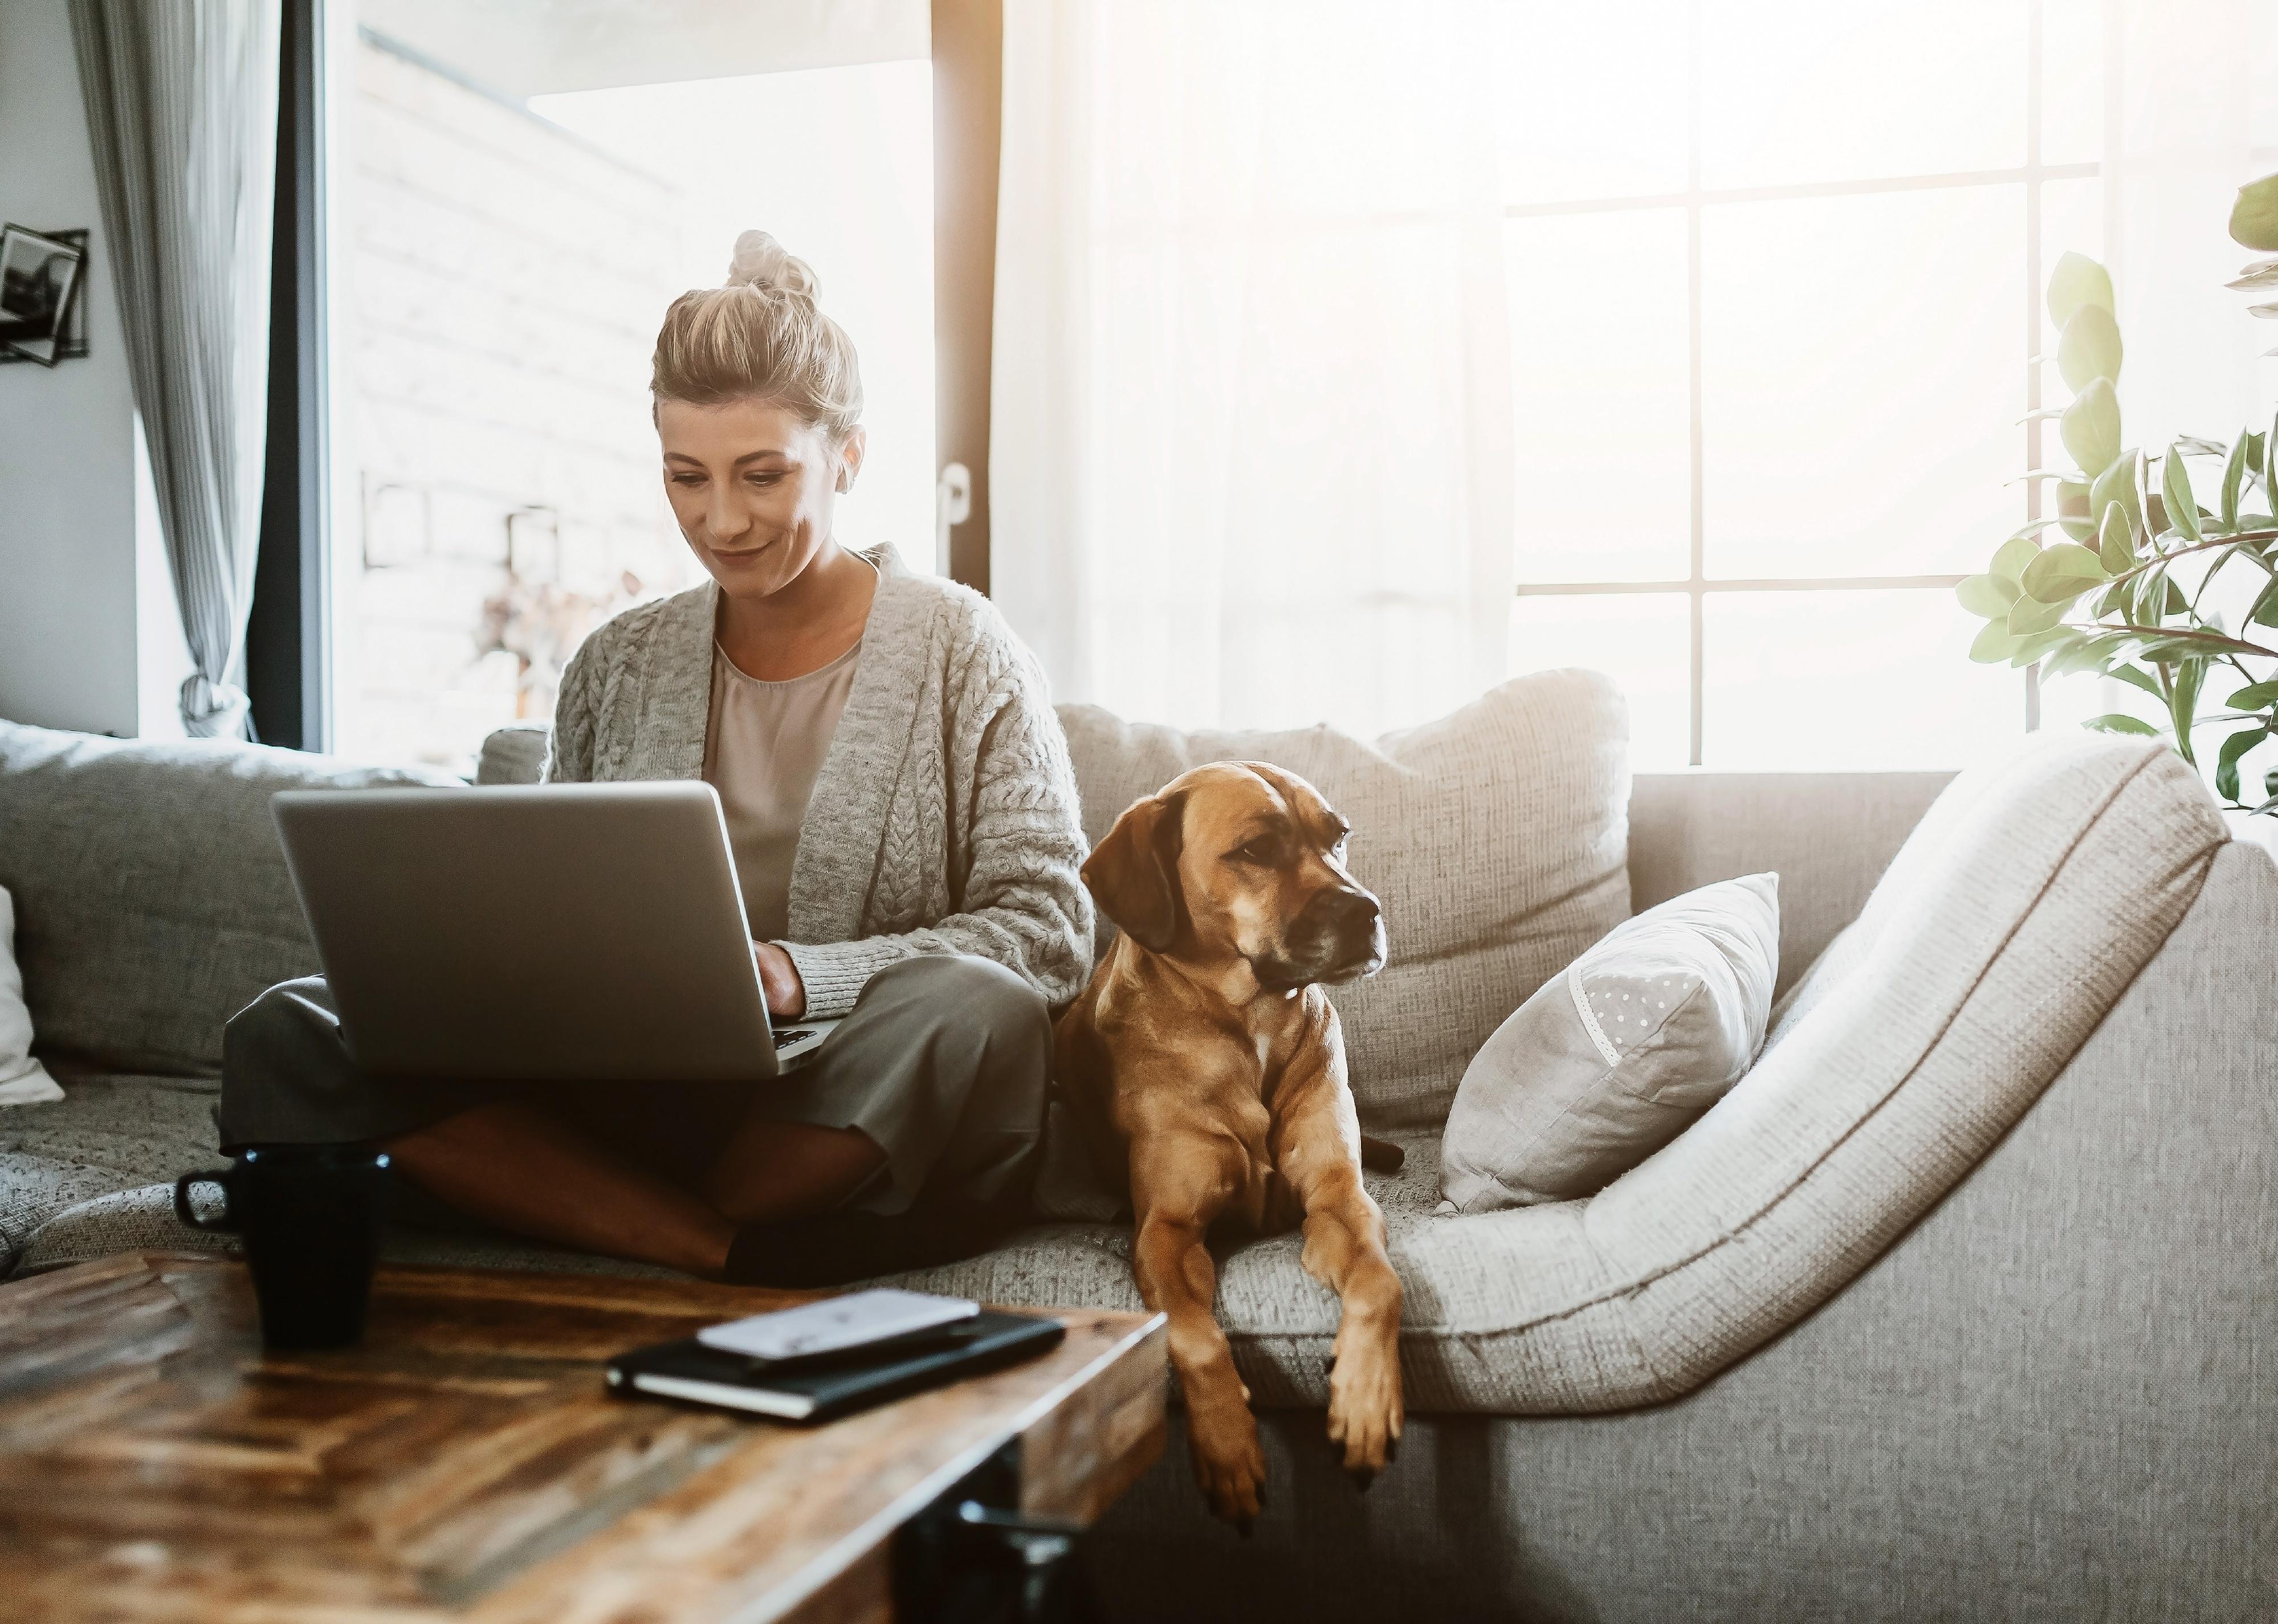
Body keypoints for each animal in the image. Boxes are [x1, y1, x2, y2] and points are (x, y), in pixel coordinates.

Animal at [1052, 761, 1403, 1521]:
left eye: (1338, 837)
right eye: (1256, 851)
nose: (1367, 912)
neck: (1252, 1024)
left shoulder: (1340, 1201)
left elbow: (1380, 1283)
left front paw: (1364, 1400)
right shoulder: (1167, 1232)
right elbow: (1193, 1336)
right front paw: (1226, 1443)